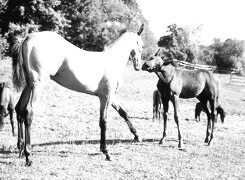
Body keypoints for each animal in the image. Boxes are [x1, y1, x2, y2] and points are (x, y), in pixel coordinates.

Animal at [11, 24, 145, 166]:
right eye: (141, 45)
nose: (138, 66)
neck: (112, 60)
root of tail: (27, 38)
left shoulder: (109, 96)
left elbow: (124, 113)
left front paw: (137, 136)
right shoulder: (106, 97)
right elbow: (103, 122)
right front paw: (106, 152)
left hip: (29, 85)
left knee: (19, 110)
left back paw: (20, 149)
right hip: (38, 85)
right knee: (29, 112)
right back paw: (28, 156)